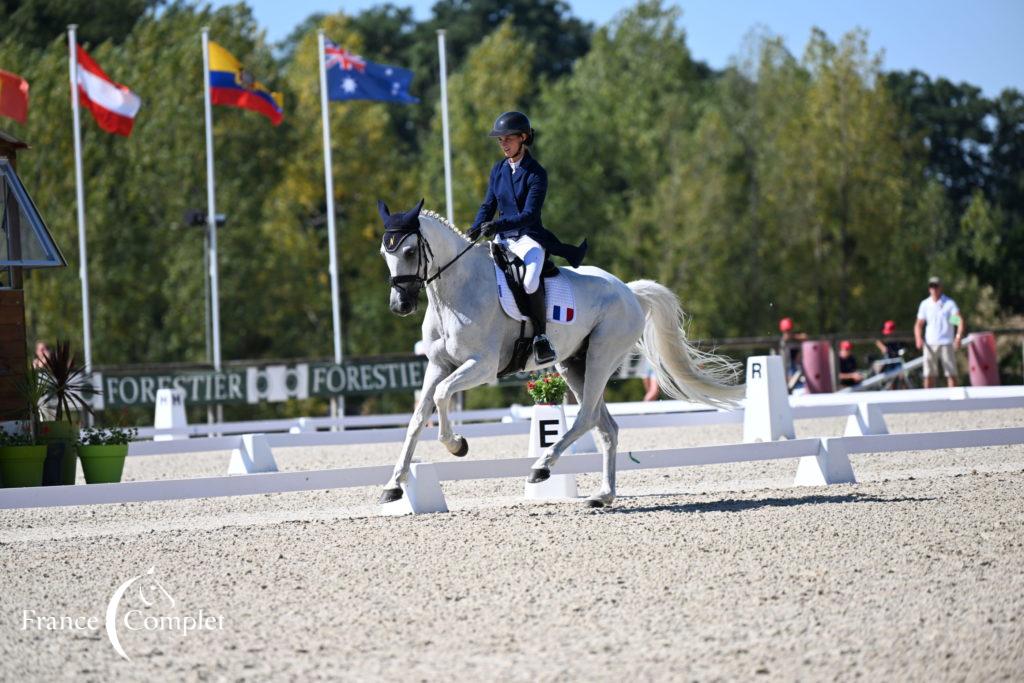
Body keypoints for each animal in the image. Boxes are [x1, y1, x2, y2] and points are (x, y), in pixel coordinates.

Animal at [376, 200, 745, 505]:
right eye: (385, 253)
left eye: (409, 251)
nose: (400, 305)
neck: (456, 291)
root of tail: (628, 291)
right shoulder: (439, 364)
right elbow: (417, 417)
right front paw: (394, 485)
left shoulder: (482, 366)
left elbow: (441, 395)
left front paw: (457, 445)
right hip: (573, 364)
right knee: (606, 426)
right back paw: (603, 495)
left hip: (601, 357)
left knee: (587, 417)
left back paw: (542, 467)